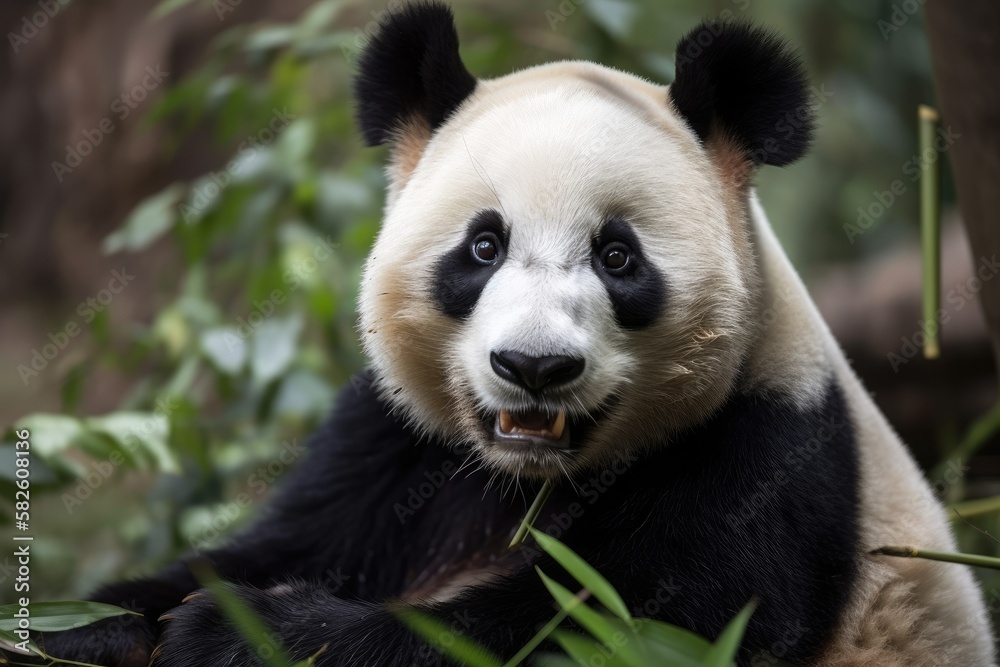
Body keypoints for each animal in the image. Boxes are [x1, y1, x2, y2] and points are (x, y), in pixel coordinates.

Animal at [24, 3, 995, 666]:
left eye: (617, 256)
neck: (525, 477)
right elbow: (267, 548)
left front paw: (241, 630)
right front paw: (89, 624)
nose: (534, 366)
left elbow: (596, 627)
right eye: (483, 246)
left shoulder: (766, 460)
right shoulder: (394, 452)